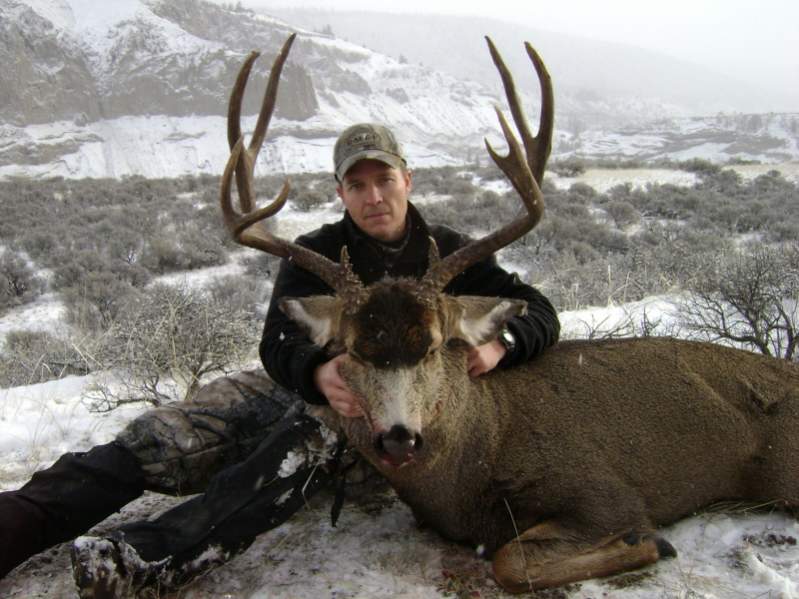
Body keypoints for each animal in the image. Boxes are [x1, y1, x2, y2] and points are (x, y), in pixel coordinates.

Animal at [219, 35, 799, 592]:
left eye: (434, 345)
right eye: (354, 350)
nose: (399, 438)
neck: (481, 455)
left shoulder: (605, 493)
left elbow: (511, 561)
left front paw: (650, 543)